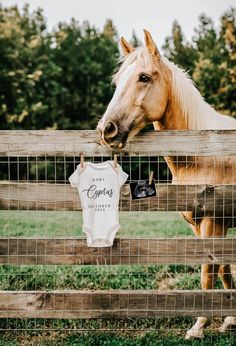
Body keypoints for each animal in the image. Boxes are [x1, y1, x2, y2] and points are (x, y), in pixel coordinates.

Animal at [97, 31, 236, 340]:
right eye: (117, 81)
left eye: (144, 77)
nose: (107, 129)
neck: (205, 153)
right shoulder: (199, 225)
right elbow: (222, 269)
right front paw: (230, 319)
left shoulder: (214, 222)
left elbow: (209, 271)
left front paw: (199, 326)